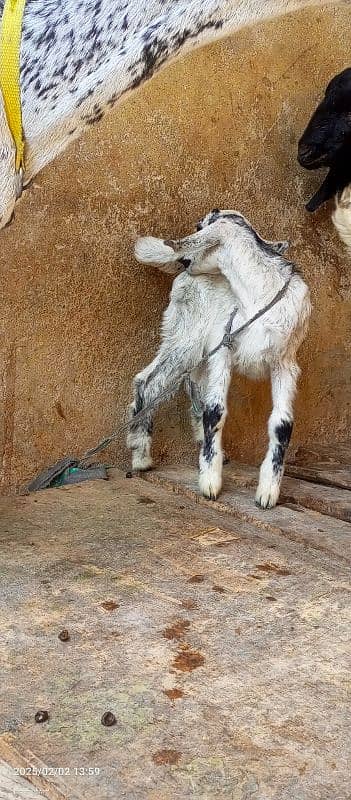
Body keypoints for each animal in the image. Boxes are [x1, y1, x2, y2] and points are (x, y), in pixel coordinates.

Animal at [129, 206, 310, 506]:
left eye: (202, 225)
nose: (184, 260)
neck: (257, 297)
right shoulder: (222, 347)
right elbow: (215, 410)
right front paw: (210, 484)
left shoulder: (284, 361)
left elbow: (282, 424)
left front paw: (267, 493)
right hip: (186, 337)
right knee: (151, 382)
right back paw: (141, 455)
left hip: (193, 350)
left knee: (182, 384)